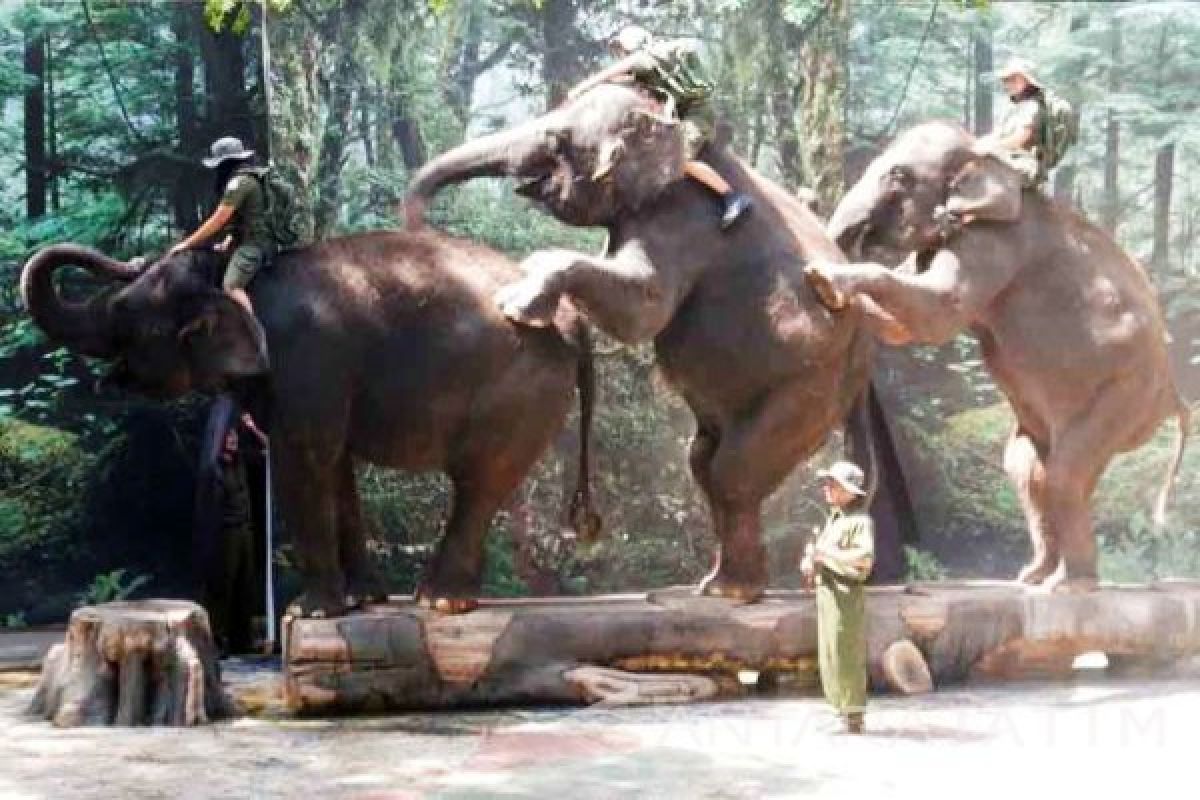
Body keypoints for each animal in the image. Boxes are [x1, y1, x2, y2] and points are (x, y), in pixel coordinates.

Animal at [18, 227, 600, 618]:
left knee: (478, 483)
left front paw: (310, 612)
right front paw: (363, 599)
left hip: (518, 390)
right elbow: (336, 466)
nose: (131, 256)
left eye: (122, 314)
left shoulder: (306, 360)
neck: (233, 279)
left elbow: (303, 461)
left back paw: (440, 601)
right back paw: (432, 596)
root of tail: (576, 320)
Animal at [403, 82, 907, 599]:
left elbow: (644, 306)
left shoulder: (682, 220)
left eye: (557, 140)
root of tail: (865, 362)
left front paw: (516, 303)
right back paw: (712, 585)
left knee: (734, 471)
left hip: (812, 385)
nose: (421, 226)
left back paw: (735, 592)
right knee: (702, 463)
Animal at [806, 120, 1190, 594]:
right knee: (1029, 469)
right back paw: (1034, 577)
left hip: (1125, 394)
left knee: (1064, 472)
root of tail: (1173, 392)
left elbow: (938, 312)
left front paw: (824, 281)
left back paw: (1069, 586)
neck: (984, 151)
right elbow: (908, 323)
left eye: (899, 176)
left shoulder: (993, 242)